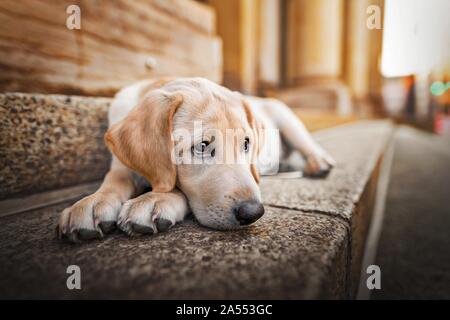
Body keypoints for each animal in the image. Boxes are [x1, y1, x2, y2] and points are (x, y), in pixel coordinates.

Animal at [56, 78, 334, 242]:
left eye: (246, 144)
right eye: (201, 146)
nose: (253, 213)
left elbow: (178, 190)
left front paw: (154, 200)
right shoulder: (121, 162)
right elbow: (115, 178)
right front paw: (94, 201)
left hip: (286, 116)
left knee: (305, 142)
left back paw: (319, 162)